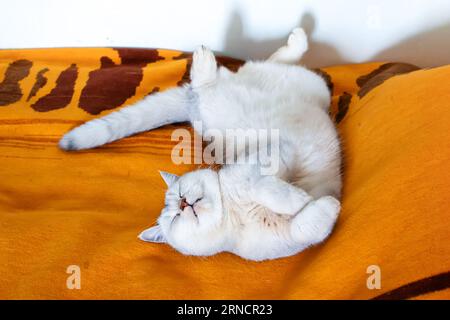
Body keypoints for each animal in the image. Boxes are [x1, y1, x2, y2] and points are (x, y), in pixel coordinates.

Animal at [59, 28, 342, 262]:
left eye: (179, 193)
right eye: (175, 215)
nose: (184, 204)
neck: (234, 210)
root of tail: (189, 103)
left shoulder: (274, 152)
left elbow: (263, 186)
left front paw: (297, 198)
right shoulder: (294, 233)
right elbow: (307, 223)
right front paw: (316, 202)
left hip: (299, 87)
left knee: (237, 72)